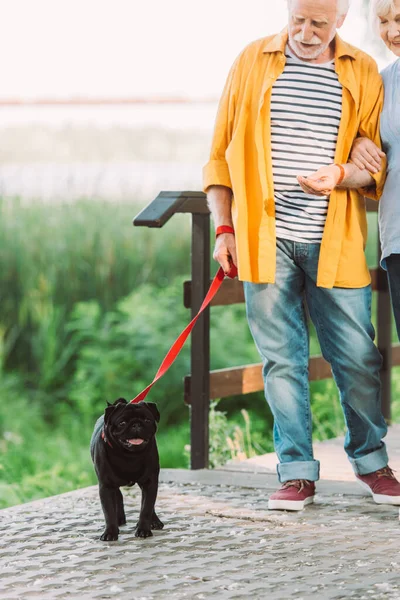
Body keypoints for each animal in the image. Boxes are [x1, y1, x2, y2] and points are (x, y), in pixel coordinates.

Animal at [90, 396, 164, 540]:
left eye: (147, 420)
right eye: (122, 423)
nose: (136, 425)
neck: (128, 456)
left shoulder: (150, 482)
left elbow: (146, 508)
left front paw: (143, 529)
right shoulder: (106, 486)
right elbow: (108, 511)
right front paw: (110, 532)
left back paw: (154, 522)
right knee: (118, 496)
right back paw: (119, 520)